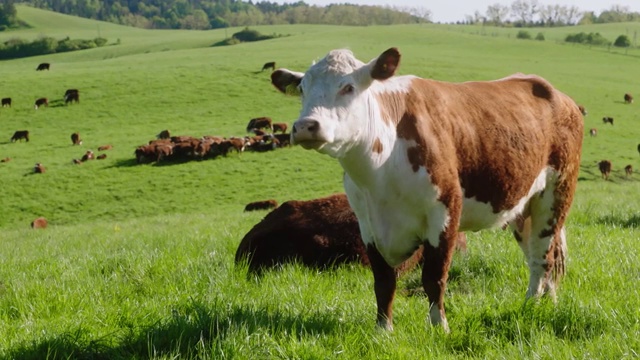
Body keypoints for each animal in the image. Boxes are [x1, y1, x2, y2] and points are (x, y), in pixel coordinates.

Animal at [272, 47, 584, 332]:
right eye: (302, 89)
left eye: (348, 87)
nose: (306, 125)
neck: (381, 171)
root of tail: (561, 97)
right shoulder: (367, 224)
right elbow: (383, 281)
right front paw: (383, 330)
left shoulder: (445, 212)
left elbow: (434, 277)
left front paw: (439, 327)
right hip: (522, 205)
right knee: (537, 256)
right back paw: (544, 301)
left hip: (556, 195)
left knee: (544, 256)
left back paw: (533, 304)